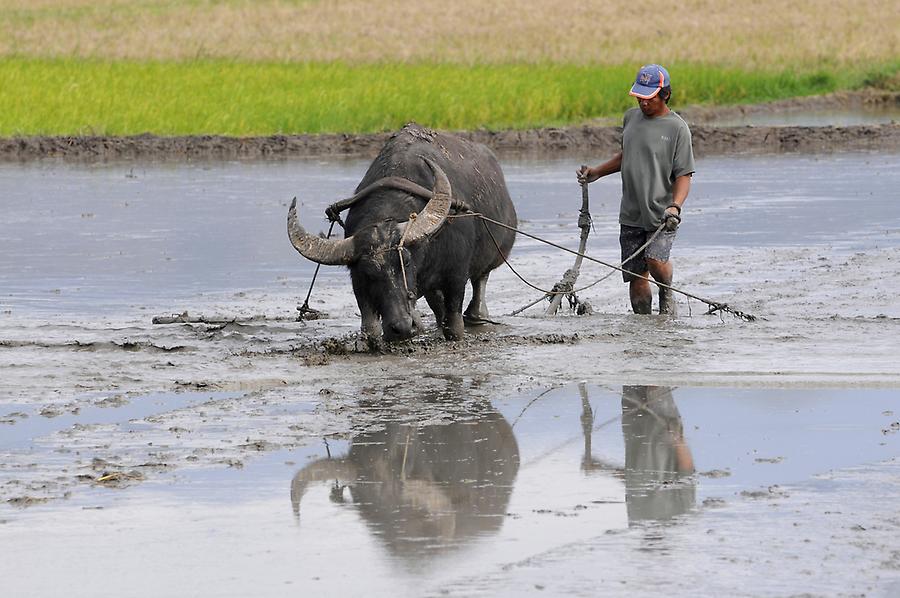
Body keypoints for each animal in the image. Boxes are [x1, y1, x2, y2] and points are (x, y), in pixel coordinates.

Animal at [284, 122, 516, 342]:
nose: (402, 327)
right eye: (368, 273)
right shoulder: (360, 286)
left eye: (406, 262)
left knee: (479, 284)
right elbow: (370, 327)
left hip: (492, 256)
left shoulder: (456, 275)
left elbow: (454, 326)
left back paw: (477, 316)